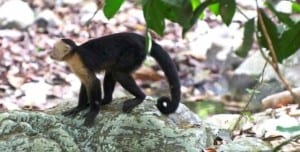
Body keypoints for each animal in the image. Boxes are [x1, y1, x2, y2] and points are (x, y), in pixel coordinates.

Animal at [50, 32, 180, 126]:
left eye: (54, 49)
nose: (50, 54)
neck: (73, 54)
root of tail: (140, 38)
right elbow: (86, 83)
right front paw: (79, 108)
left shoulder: (79, 61)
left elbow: (93, 82)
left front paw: (92, 112)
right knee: (112, 71)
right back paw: (105, 100)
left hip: (134, 52)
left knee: (119, 73)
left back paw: (140, 97)